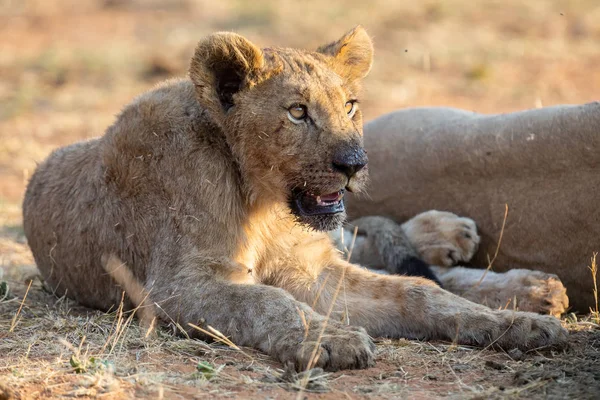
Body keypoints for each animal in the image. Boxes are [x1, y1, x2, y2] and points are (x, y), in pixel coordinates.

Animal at [23, 27, 568, 372]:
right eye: (298, 112)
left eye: (350, 105)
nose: (354, 163)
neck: (264, 203)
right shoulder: (176, 287)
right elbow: (271, 301)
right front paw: (330, 340)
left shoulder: (310, 267)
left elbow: (416, 292)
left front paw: (515, 326)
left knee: (374, 248)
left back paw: (506, 271)